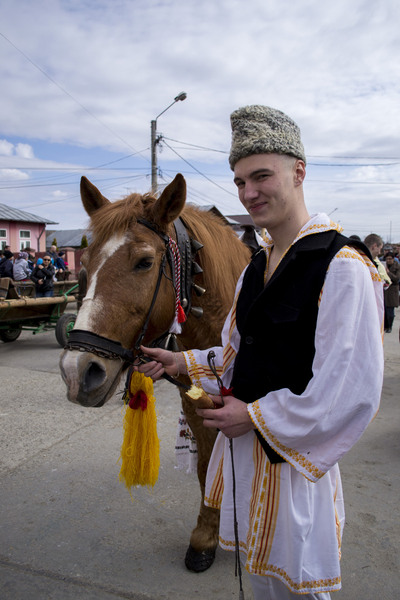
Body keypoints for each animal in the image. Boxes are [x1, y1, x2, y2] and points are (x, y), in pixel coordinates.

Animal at [59, 173, 251, 572]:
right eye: (84, 262)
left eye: (145, 262)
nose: (77, 372)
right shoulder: (197, 405)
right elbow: (207, 464)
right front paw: (206, 535)